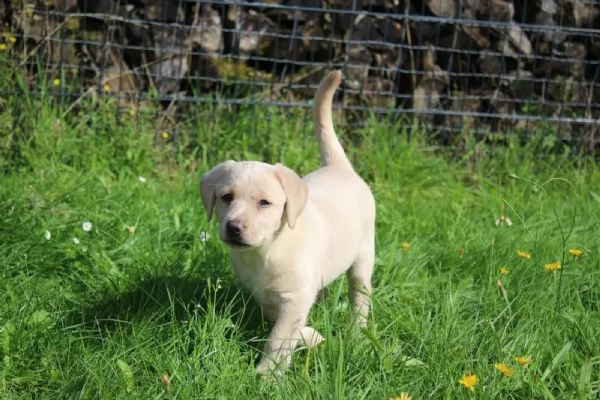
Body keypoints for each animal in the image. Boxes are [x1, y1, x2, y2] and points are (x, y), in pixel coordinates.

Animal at [202, 70, 376, 374]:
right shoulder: (265, 293)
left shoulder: (295, 296)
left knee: (360, 298)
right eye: (226, 198)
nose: (234, 227)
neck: (266, 251)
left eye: (264, 203)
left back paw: (357, 333)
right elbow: (280, 320)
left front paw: (267, 375)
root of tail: (340, 168)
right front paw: (310, 335)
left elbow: (279, 337)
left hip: (364, 257)